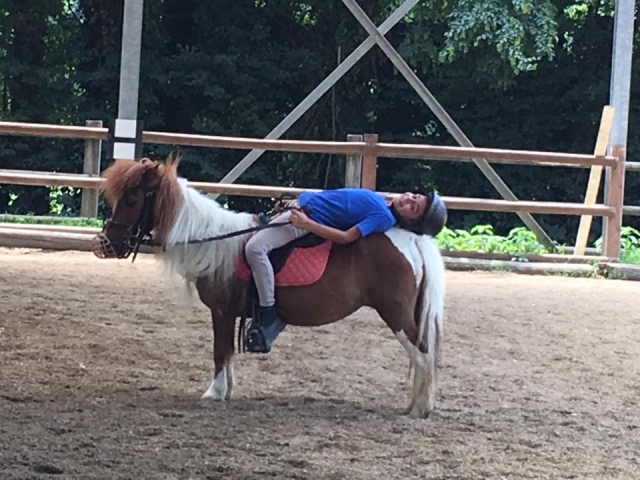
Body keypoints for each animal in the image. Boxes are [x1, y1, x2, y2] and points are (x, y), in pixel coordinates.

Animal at [90, 154, 446, 418]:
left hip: (395, 314)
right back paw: (413, 405)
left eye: (132, 199)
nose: (106, 243)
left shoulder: (221, 311)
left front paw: (215, 392)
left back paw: (420, 409)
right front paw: (227, 390)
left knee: (422, 353)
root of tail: (413, 238)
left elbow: (219, 350)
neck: (215, 242)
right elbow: (227, 352)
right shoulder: (230, 314)